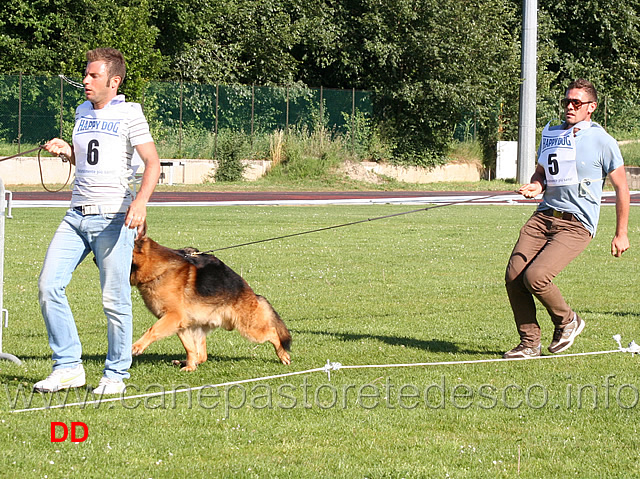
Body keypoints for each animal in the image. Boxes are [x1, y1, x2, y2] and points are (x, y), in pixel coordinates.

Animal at [129, 231, 292, 374]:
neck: (156, 267)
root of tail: (253, 294)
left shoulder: (174, 316)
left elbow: (152, 330)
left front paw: (137, 346)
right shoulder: (179, 323)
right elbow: (189, 347)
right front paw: (190, 367)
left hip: (249, 329)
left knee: (272, 332)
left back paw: (283, 355)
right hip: (198, 327)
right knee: (201, 355)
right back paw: (186, 362)